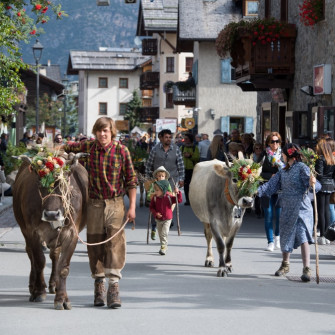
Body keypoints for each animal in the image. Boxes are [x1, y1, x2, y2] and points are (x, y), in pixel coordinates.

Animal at [13, 153, 89, 310]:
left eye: (63, 184)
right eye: (39, 184)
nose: (52, 215)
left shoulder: (72, 233)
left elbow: (63, 267)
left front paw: (62, 298)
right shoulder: (32, 232)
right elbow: (39, 261)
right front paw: (39, 291)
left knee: (54, 256)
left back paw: (54, 284)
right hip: (25, 231)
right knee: (31, 255)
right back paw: (33, 286)